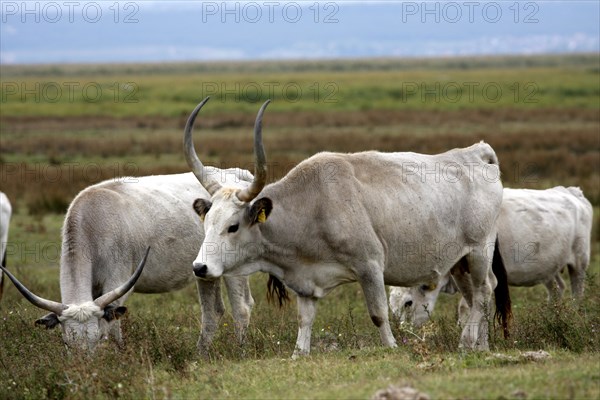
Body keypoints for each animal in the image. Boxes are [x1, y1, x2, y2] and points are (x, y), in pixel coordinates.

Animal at [0, 170, 254, 352]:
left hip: (233, 271)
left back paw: (239, 351)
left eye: (97, 339)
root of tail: (233, 176)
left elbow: (114, 329)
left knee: (241, 309)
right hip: (205, 271)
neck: (94, 223)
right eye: (66, 343)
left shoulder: (117, 283)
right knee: (213, 313)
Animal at [184, 98, 510, 358]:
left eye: (233, 226)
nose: (200, 267)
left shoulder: (370, 265)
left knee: (483, 290)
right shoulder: (306, 281)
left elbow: (378, 314)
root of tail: (477, 153)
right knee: (474, 296)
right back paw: (481, 346)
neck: (313, 205)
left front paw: (392, 348)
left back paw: (467, 342)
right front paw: (299, 354)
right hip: (458, 261)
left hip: (479, 250)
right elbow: (304, 320)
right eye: (207, 222)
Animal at [392, 186, 592, 326]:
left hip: (579, 261)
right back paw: (552, 317)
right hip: (548, 269)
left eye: (407, 303)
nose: (403, 332)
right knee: (557, 289)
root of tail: (571, 191)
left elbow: (466, 306)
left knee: (578, 291)